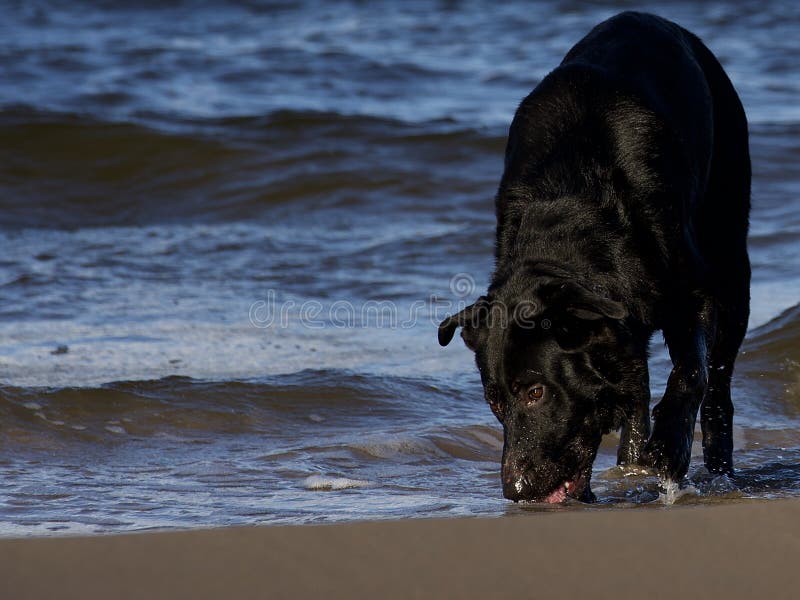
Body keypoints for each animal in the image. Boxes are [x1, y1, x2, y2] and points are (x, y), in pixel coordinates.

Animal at [438, 14, 752, 502]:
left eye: (536, 392)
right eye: (494, 401)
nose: (515, 489)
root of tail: (651, 18)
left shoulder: (694, 290)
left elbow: (692, 370)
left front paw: (670, 448)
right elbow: (636, 385)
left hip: (732, 262)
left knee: (718, 384)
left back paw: (719, 470)